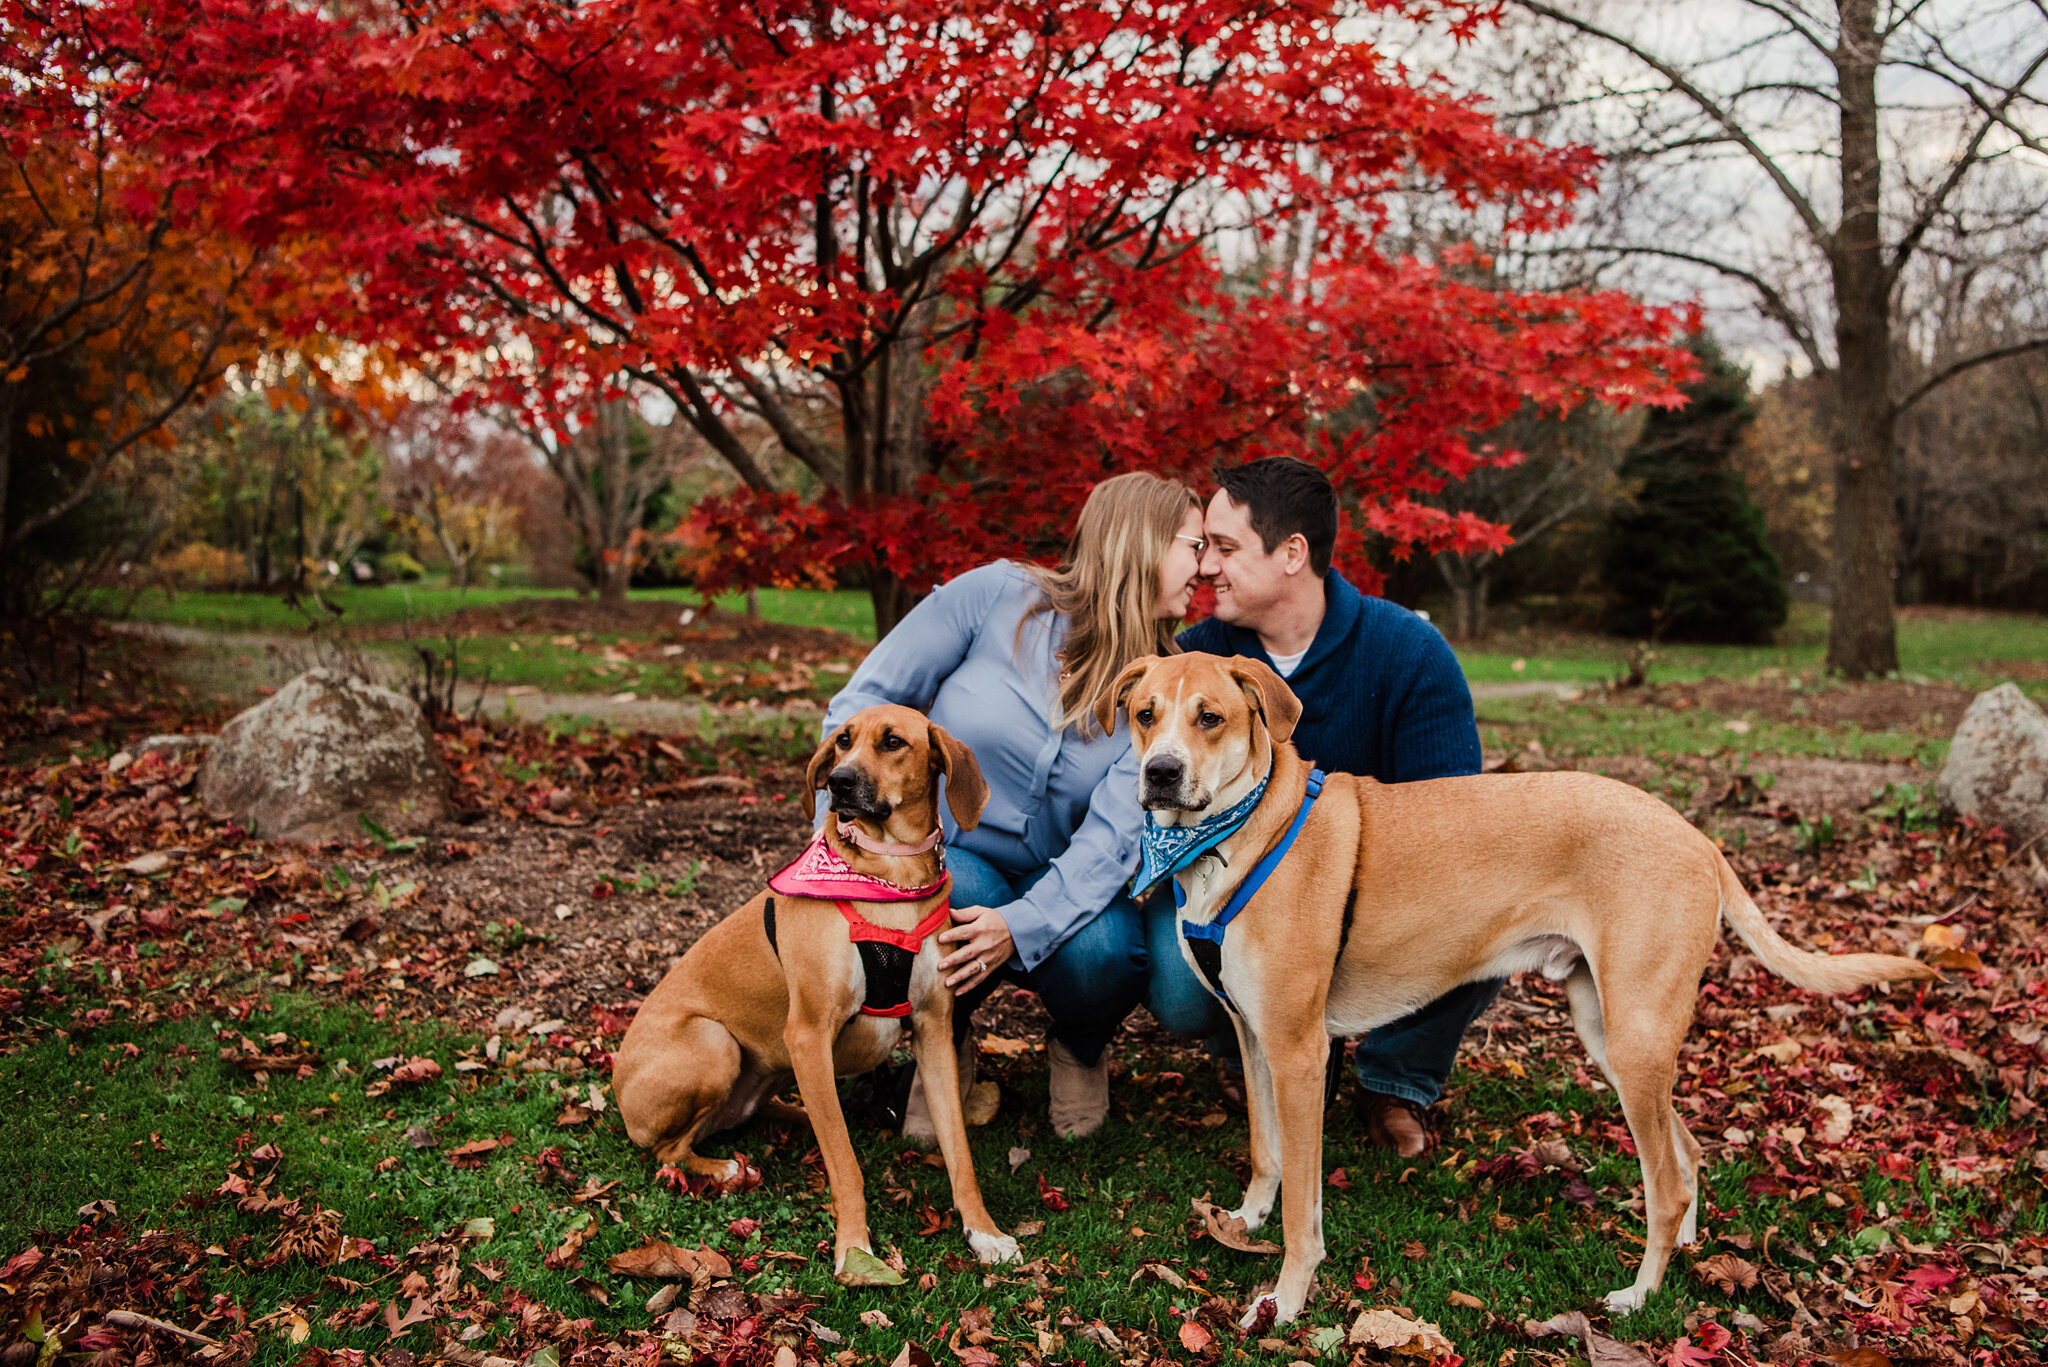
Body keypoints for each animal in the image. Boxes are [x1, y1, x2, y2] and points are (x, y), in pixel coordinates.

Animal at [610, 713, 1019, 1278]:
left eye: (893, 742)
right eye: (843, 740)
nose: (839, 782)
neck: (890, 879)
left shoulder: (933, 1029)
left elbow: (960, 1151)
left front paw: (984, 1232)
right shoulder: (808, 1034)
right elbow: (845, 1165)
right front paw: (855, 1250)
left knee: (768, 1114)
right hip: (714, 1044)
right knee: (669, 1151)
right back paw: (724, 1168)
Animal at [1105, 651, 1933, 1328]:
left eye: (1210, 716)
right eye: (1145, 714)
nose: (1161, 771)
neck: (1233, 834)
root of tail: (1697, 836)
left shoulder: (1300, 1052)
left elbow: (1304, 1210)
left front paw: (1285, 1298)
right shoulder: (1253, 1036)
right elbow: (1265, 1150)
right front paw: (1246, 1217)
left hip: (1633, 1038)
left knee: (1664, 1180)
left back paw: (1640, 1293)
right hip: (1614, 1034)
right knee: (1689, 1149)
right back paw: (1686, 1250)